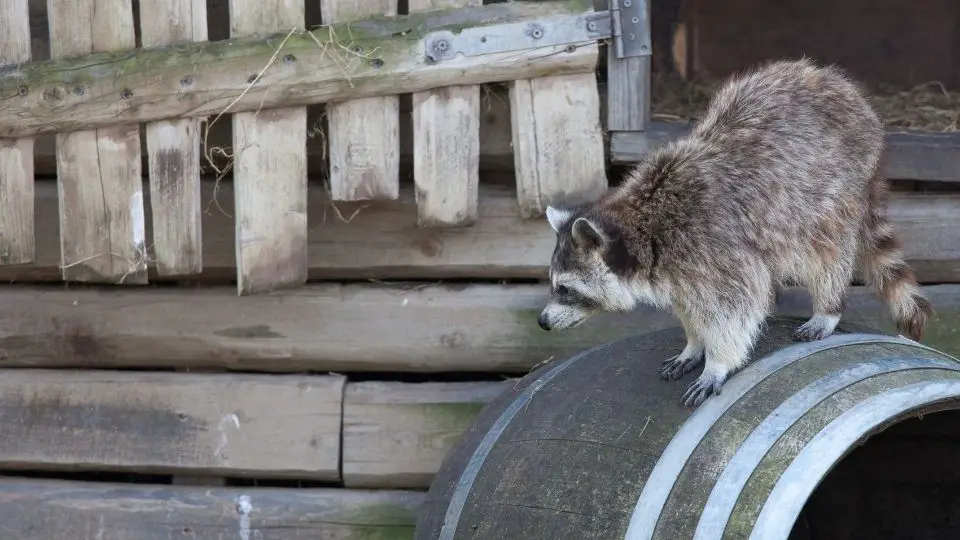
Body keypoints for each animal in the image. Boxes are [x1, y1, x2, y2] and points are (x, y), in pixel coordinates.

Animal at [540, 57, 928, 408]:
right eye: (554, 284)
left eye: (566, 289)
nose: (542, 322)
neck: (644, 225)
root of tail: (847, 91)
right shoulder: (680, 269)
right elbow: (691, 306)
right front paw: (694, 343)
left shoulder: (715, 247)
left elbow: (735, 308)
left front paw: (717, 362)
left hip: (831, 192)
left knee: (825, 254)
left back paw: (828, 306)